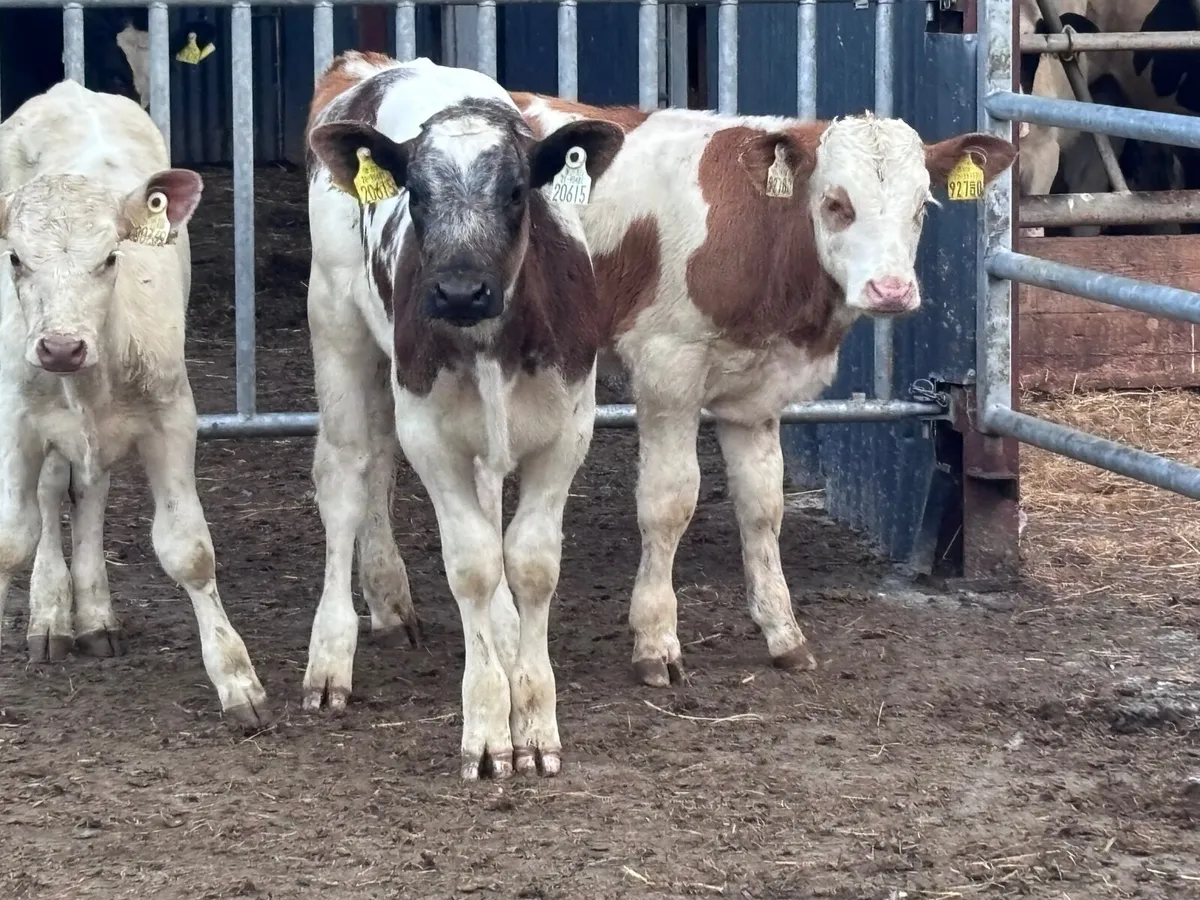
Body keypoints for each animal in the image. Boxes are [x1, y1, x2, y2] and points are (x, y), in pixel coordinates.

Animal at [0, 80, 267, 728]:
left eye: (110, 258)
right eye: (17, 258)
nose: (61, 346)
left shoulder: (173, 419)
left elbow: (189, 551)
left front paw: (236, 679)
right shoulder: (14, 418)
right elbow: (11, 537)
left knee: (88, 492)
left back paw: (94, 615)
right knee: (52, 494)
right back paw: (51, 615)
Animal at [305, 52, 624, 779]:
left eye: (516, 192)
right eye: (416, 196)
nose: (457, 292)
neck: (493, 342)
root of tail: (372, 66)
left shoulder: (569, 429)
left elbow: (530, 561)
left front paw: (533, 721)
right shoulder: (429, 434)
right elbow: (473, 563)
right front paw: (487, 727)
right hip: (336, 326)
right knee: (346, 477)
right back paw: (330, 656)